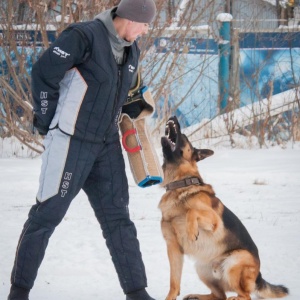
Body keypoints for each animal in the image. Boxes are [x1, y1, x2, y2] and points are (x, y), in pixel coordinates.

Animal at [159, 115, 288, 300]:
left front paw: (191, 231)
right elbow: (174, 283)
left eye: (184, 137)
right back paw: (196, 295)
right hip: (202, 268)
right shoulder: (173, 248)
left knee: (244, 295)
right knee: (219, 295)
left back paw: (235, 297)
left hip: (234, 261)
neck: (181, 184)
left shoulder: (214, 222)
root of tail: (258, 276)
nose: (173, 117)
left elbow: (192, 211)